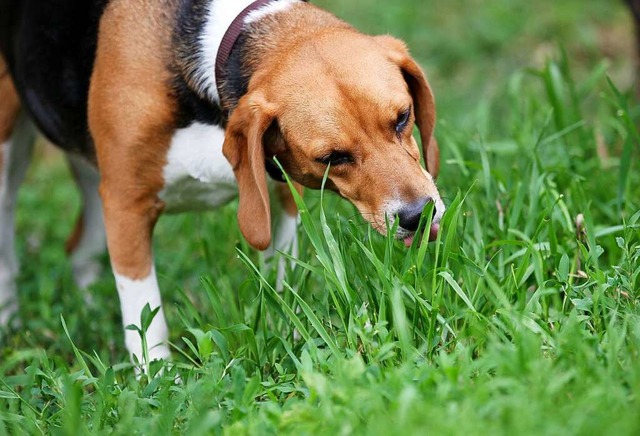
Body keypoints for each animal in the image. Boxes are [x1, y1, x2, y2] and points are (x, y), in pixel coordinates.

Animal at [0, 0, 444, 362]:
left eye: (403, 118)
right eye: (333, 158)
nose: (418, 215)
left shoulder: (278, 194)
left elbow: (281, 276)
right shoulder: (127, 204)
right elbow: (145, 315)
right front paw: (159, 382)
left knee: (79, 249)